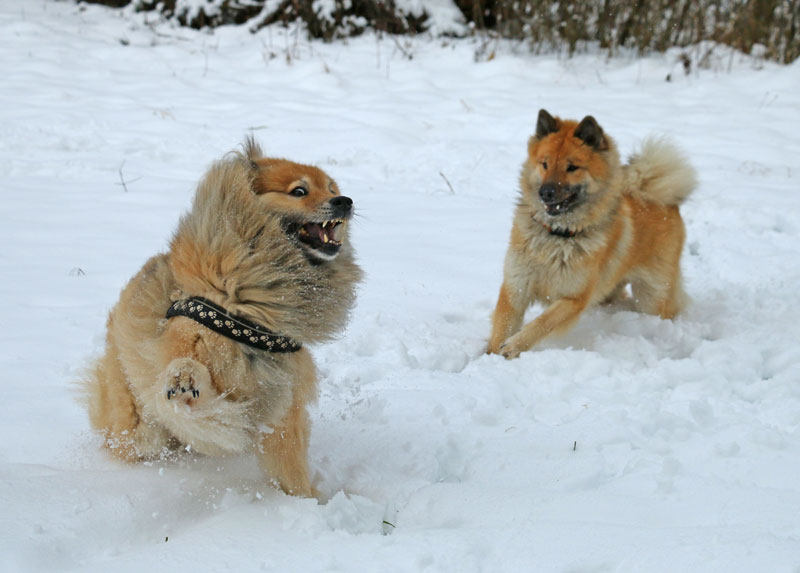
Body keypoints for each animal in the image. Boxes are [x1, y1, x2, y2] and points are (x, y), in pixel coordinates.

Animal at [82, 139, 362, 496]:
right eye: (299, 191)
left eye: (331, 188)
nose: (344, 201)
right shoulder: (186, 343)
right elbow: (194, 388)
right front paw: (185, 382)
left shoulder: (284, 400)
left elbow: (290, 466)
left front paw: (307, 501)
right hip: (136, 426)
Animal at [484, 108, 696, 358]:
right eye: (544, 164)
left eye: (572, 167)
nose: (546, 192)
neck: (557, 235)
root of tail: (663, 200)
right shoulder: (515, 287)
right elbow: (502, 326)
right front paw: (491, 355)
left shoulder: (574, 297)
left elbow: (543, 323)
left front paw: (513, 347)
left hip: (652, 296)